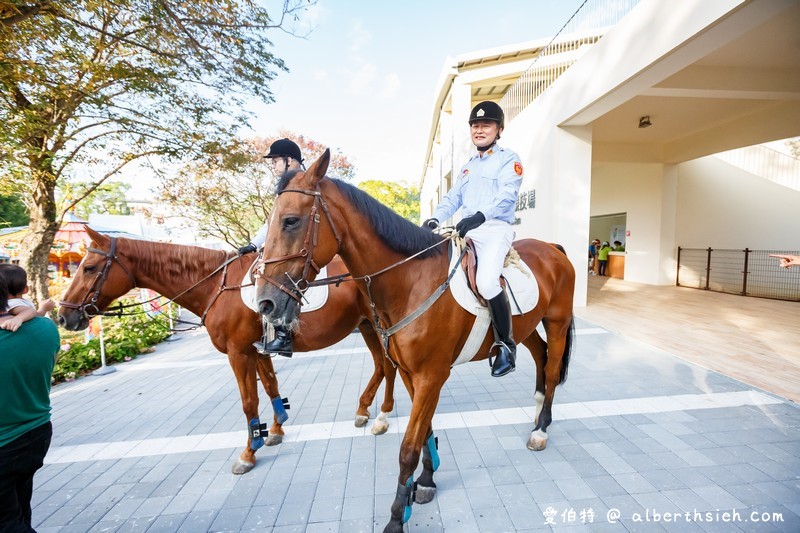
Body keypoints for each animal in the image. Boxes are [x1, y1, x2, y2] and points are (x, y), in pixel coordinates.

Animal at [56, 225, 396, 474]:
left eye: (89, 268)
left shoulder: (239, 353)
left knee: (389, 366)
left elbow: (248, 402)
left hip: (377, 324)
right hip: (367, 325)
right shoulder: (257, 350)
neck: (216, 288)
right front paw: (276, 429)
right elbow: (270, 386)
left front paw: (249, 451)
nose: (63, 316)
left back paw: (380, 414)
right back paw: (365, 410)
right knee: (383, 366)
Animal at [256, 151, 576, 532]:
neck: (411, 281)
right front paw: (425, 481)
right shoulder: (412, 374)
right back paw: (535, 406)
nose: (266, 303)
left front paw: (397, 515)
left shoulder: (431, 376)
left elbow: (408, 447)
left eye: (290, 221)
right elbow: (423, 433)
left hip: (556, 322)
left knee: (553, 369)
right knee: (540, 356)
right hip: (524, 328)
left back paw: (541, 429)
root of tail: (552, 248)